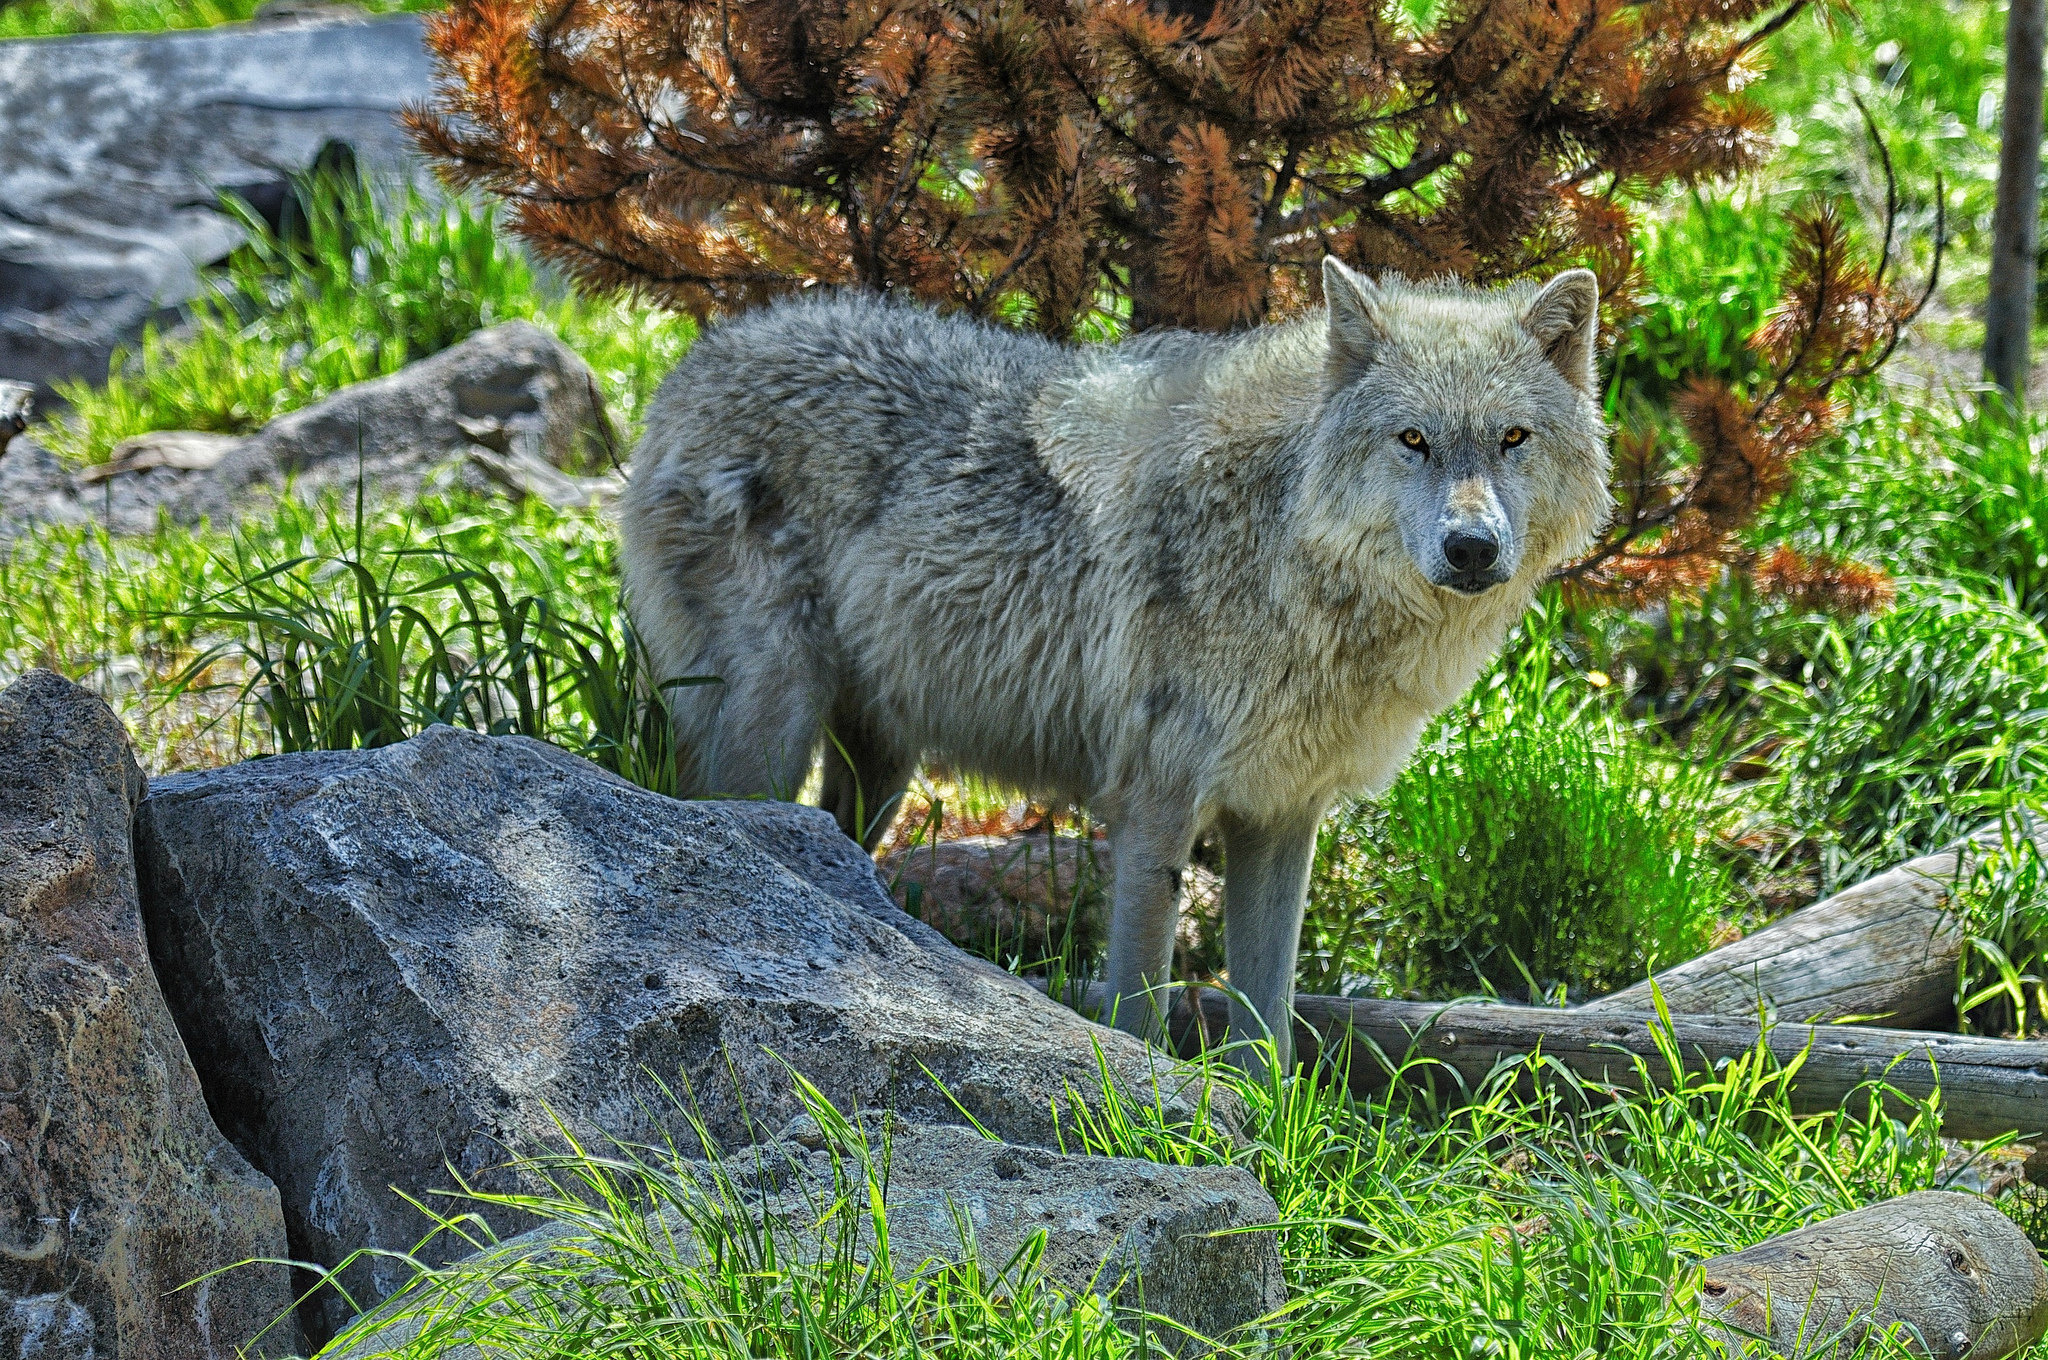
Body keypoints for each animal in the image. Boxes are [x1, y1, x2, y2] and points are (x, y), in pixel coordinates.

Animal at [614, 251, 1605, 1065]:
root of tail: (695, 362)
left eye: (1513, 438)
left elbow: (1270, 1026)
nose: (1472, 548)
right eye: (1414, 441)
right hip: (772, 732)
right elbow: (1139, 1000)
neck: (1286, 548)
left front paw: (1267, 1134)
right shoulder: (1154, 805)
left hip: (878, 769)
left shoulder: (1281, 815)